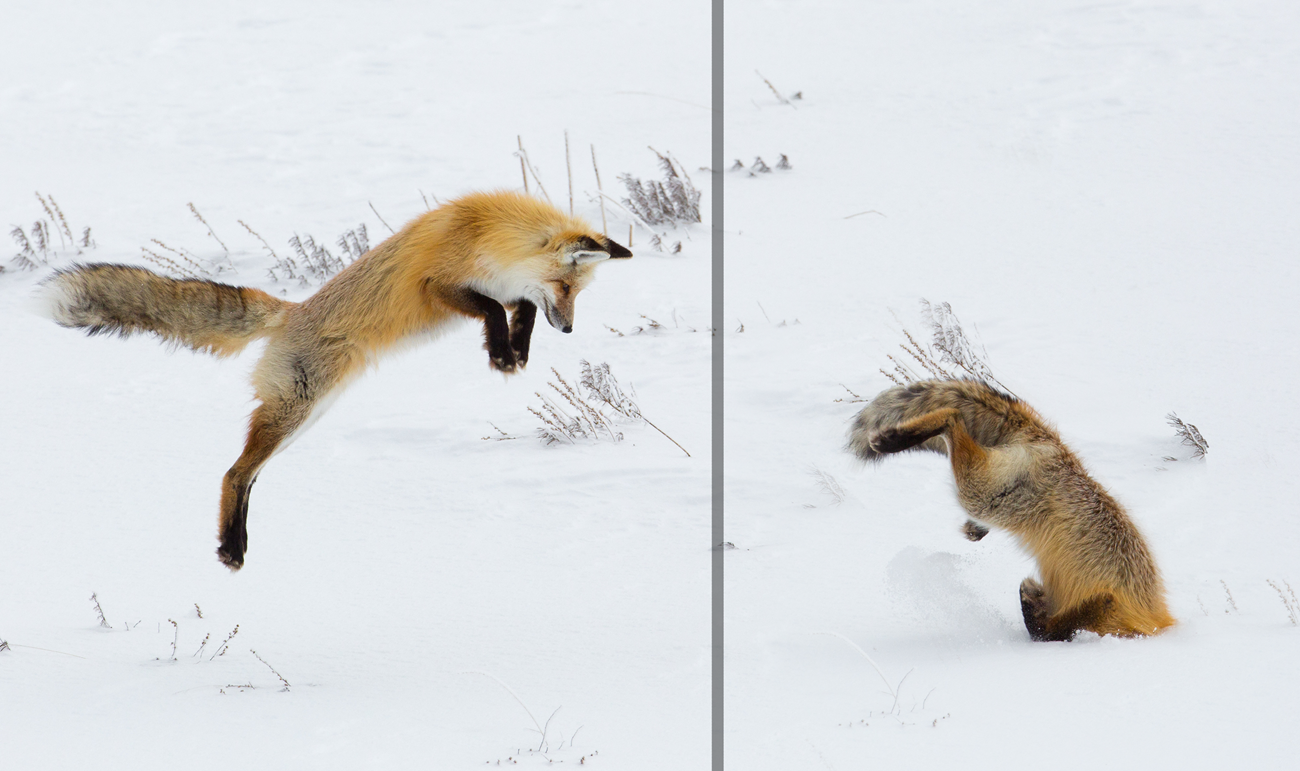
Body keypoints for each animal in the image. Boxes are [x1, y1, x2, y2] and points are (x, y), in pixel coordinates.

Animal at [40, 190, 631, 571]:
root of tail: (290, 311)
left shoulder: (509, 289)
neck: (489, 234)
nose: (570, 328)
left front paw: (516, 352)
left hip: (306, 416)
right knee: (234, 473)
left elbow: (518, 309)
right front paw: (504, 355)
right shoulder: (437, 285)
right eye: (567, 287)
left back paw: (236, 544)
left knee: (249, 475)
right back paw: (231, 549)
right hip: (297, 407)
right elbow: (490, 307)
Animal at [848, 379, 1174, 641]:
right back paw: (893, 439)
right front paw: (1030, 601)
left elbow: (1045, 628)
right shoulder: (1101, 612)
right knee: (953, 418)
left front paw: (1030, 598)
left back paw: (974, 527)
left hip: (995, 500)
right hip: (986, 495)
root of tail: (1057, 447)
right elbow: (1047, 632)